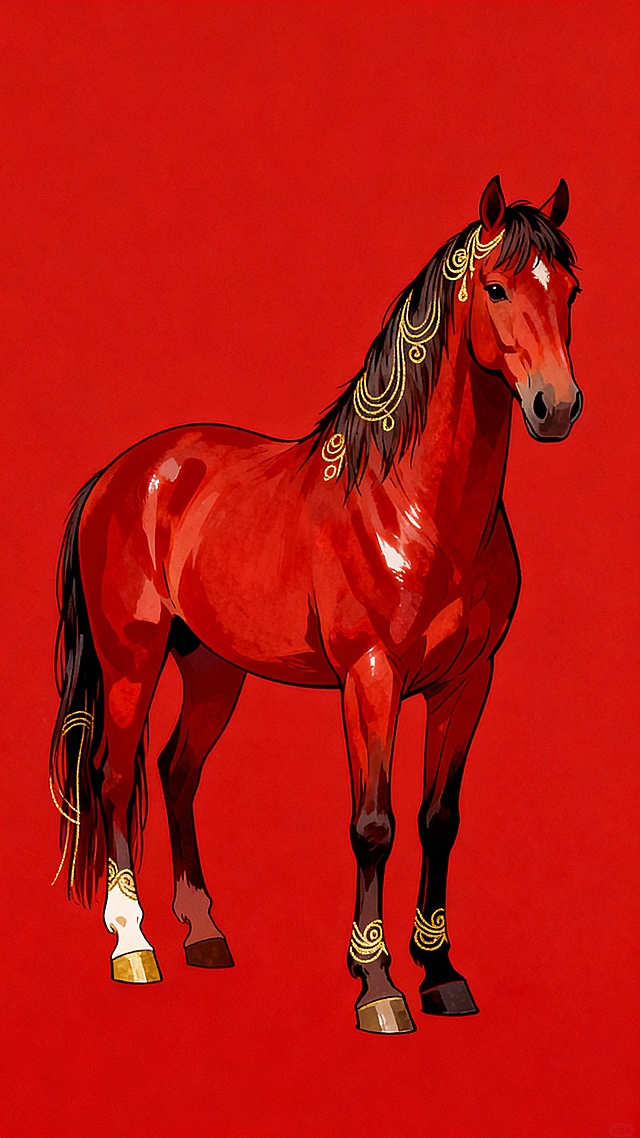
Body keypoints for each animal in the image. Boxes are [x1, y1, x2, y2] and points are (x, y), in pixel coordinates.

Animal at [50, 175, 582, 1033]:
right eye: (498, 287)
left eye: (572, 289)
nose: (556, 407)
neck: (414, 507)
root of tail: (120, 474)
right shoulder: (371, 678)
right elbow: (374, 826)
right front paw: (379, 987)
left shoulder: (468, 683)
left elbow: (438, 821)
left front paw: (442, 974)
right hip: (131, 659)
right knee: (115, 778)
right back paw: (134, 945)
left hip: (214, 669)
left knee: (176, 772)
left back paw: (204, 932)